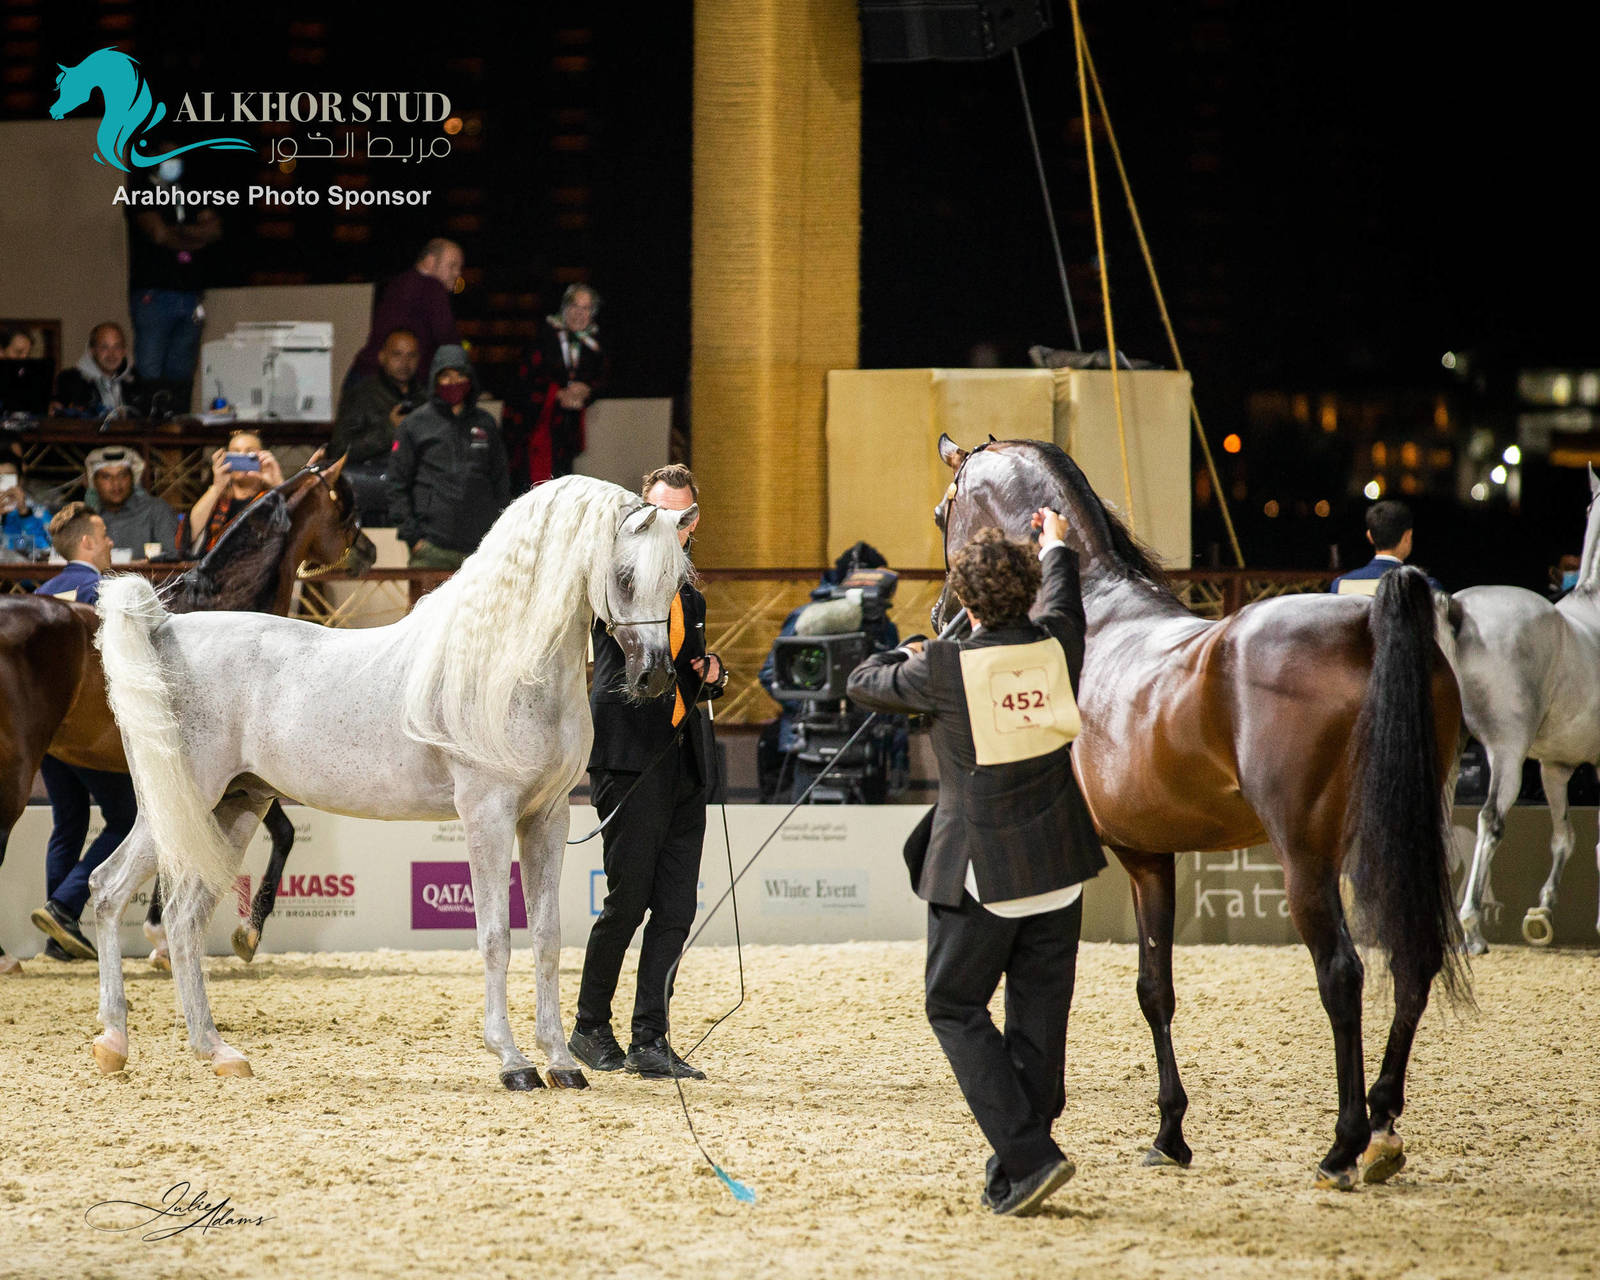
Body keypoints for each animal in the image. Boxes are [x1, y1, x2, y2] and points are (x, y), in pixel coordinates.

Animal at [0, 458, 373, 975]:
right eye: (346, 505)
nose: (370, 551)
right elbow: (283, 834)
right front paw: (242, 932)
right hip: (17, 769)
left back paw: (60, 932)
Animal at [88, 474, 691, 1090]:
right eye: (625, 577)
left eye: (675, 580)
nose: (655, 677)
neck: (503, 668)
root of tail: (163, 631)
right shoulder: (489, 816)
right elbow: (495, 936)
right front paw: (513, 1061)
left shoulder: (546, 819)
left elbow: (546, 939)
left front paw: (562, 1063)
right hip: (179, 804)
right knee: (108, 888)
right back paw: (113, 1042)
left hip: (234, 808)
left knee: (184, 920)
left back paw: (215, 1050)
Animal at [931, 435, 1465, 1190]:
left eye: (943, 511)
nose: (941, 616)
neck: (1094, 612)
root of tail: (1366, 624)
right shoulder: (1153, 855)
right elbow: (1157, 990)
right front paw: (1170, 1134)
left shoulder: (1121, 858)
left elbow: (1089, 990)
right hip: (1396, 840)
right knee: (1412, 959)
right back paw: (1384, 1131)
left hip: (1308, 859)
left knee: (1342, 974)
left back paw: (1343, 1146)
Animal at [1448, 465, 1600, 953]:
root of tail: (1460, 609)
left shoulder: (1556, 766)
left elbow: (1564, 837)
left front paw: (1543, 912)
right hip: (1507, 752)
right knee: (1489, 821)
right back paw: (1471, 928)